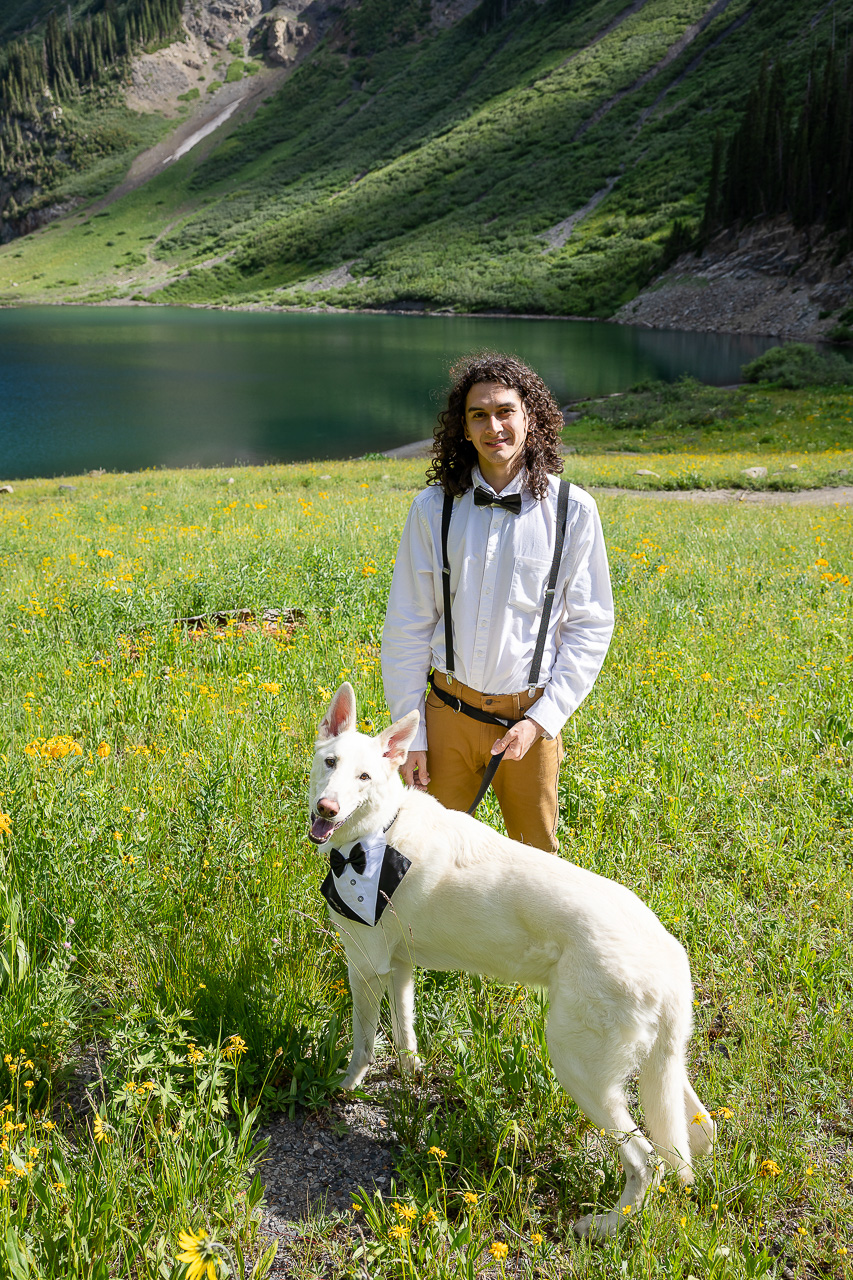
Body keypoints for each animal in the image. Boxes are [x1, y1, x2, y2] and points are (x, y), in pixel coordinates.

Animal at [306, 686, 712, 1233]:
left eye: (364, 778)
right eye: (330, 762)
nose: (326, 808)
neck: (380, 832)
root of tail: (668, 957)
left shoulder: (365, 966)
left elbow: (363, 1046)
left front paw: (346, 1087)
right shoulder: (400, 967)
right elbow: (406, 1031)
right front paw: (412, 1076)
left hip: (578, 1069)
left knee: (647, 1161)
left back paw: (601, 1227)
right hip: (662, 1069)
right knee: (696, 1135)